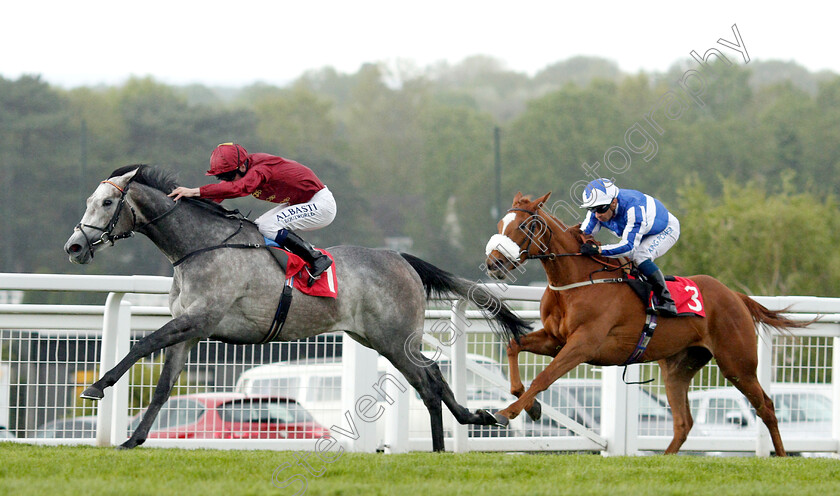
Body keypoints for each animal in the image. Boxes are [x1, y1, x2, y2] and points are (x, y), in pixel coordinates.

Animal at [65, 165, 528, 452]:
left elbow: (143, 344)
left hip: (395, 338)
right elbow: (163, 385)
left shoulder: (200, 317)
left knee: (428, 380)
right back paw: (467, 424)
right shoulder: (191, 329)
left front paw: (97, 386)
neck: (200, 246)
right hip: (376, 338)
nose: (74, 247)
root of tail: (401, 257)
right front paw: (133, 439)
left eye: (106, 204)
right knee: (430, 376)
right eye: (88, 200)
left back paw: (443, 444)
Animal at [486, 192, 812, 456]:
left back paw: (782, 457)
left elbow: (544, 378)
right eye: (500, 224)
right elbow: (514, 347)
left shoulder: (583, 345)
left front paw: (504, 413)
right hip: (678, 367)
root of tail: (735, 295)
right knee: (683, 422)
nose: (493, 263)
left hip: (737, 363)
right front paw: (529, 405)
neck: (576, 282)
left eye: (524, 226)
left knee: (766, 407)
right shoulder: (556, 340)